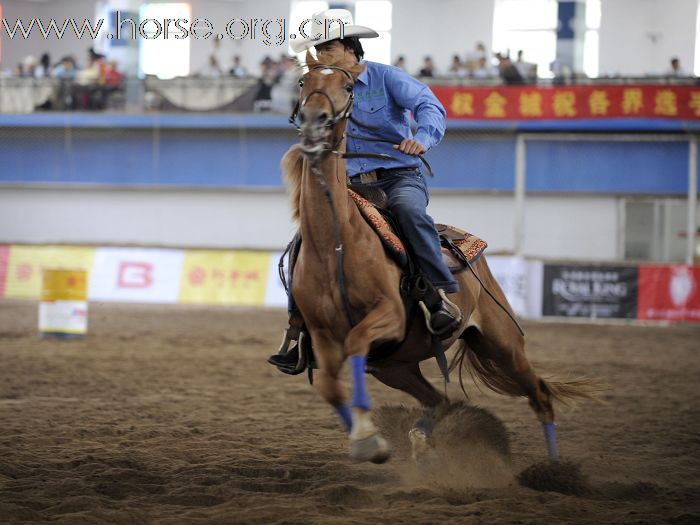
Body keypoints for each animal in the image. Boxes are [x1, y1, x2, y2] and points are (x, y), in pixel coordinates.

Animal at [284, 53, 592, 462]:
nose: (314, 121)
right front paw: (368, 441)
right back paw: (420, 440)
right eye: (305, 82)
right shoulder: (320, 335)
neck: (335, 243)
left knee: (538, 393)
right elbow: (330, 387)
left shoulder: (389, 316)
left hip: (502, 341)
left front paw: (367, 437)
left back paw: (555, 467)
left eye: (348, 87)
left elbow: (356, 344)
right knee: (439, 399)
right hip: (394, 366)